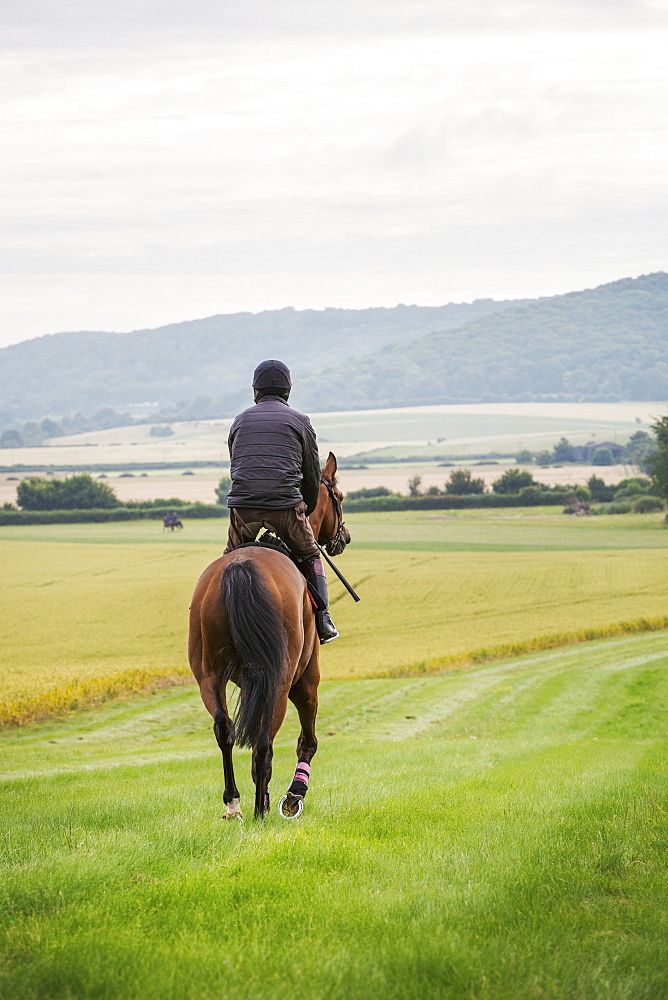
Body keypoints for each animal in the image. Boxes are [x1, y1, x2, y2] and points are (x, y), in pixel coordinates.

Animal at [185, 456, 348, 820]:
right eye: (340, 497)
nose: (344, 537)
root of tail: (241, 566)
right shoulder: (307, 678)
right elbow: (308, 740)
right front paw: (294, 795)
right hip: (282, 678)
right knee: (264, 741)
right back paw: (261, 808)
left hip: (209, 675)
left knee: (224, 729)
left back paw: (234, 804)